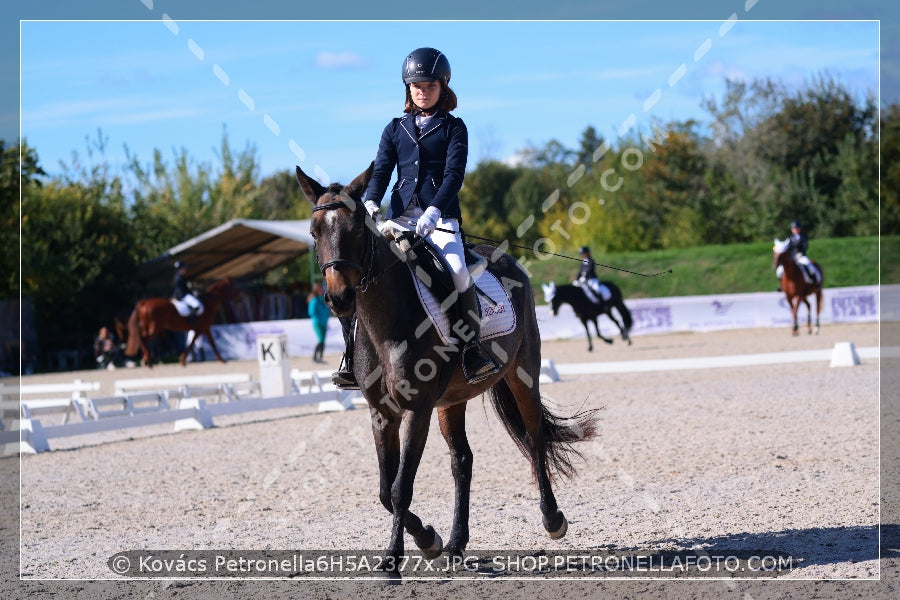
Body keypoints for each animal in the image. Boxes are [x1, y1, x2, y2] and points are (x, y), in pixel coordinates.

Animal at [298, 162, 600, 580]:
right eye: (314, 233)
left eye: (357, 229)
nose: (338, 298)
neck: (384, 322)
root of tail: (505, 259)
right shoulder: (381, 413)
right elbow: (385, 489)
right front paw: (429, 540)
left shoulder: (417, 409)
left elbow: (400, 488)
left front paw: (393, 562)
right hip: (452, 399)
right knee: (463, 460)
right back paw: (456, 545)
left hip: (522, 374)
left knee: (535, 437)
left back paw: (552, 519)